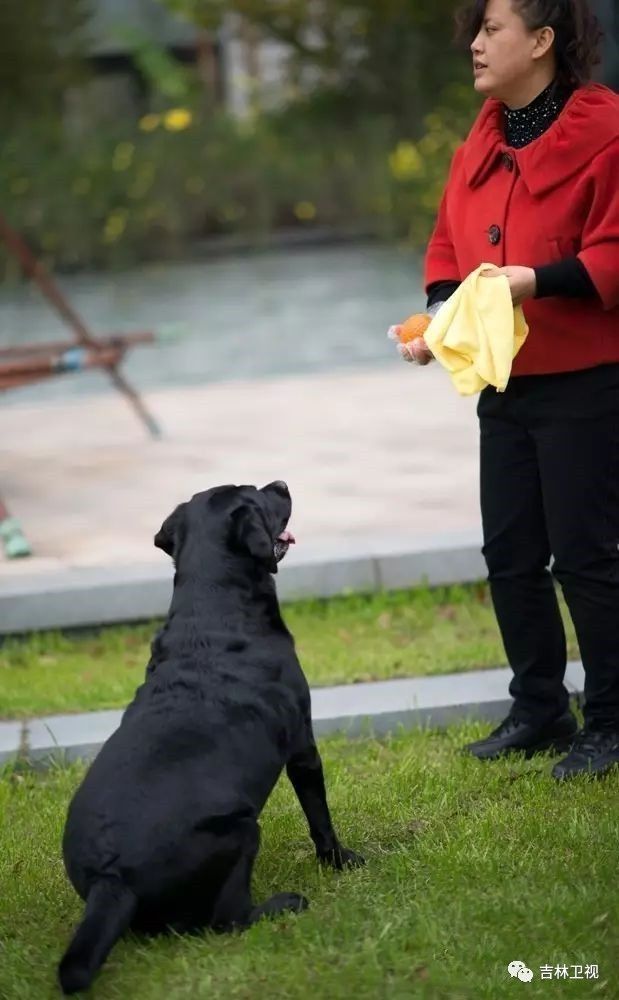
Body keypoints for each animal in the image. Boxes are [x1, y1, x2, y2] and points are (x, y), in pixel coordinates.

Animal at [58, 482, 364, 992]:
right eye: (257, 496)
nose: (282, 484)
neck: (215, 606)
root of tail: (110, 879)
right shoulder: (303, 744)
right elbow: (319, 816)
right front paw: (340, 860)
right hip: (242, 831)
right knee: (228, 919)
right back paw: (283, 905)